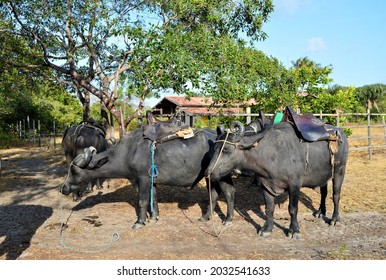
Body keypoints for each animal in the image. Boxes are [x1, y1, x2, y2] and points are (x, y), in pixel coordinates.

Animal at [60, 119, 235, 229]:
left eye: (74, 170)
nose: (64, 188)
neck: (128, 152)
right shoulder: (146, 180)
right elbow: (154, 198)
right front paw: (154, 217)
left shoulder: (143, 179)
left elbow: (143, 201)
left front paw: (139, 222)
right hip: (211, 177)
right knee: (214, 194)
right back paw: (205, 217)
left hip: (222, 175)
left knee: (228, 192)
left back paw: (228, 219)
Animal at [207, 119, 348, 240]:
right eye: (214, 148)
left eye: (226, 148)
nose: (209, 172)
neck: (273, 154)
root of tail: (340, 133)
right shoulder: (265, 185)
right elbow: (269, 208)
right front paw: (267, 229)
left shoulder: (294, 185)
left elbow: (293, 209)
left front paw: (294, 230)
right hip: (324, 175)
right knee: (324, 192)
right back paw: (320, 212)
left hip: (340, 170)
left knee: (336, 194)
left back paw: (334, 219)